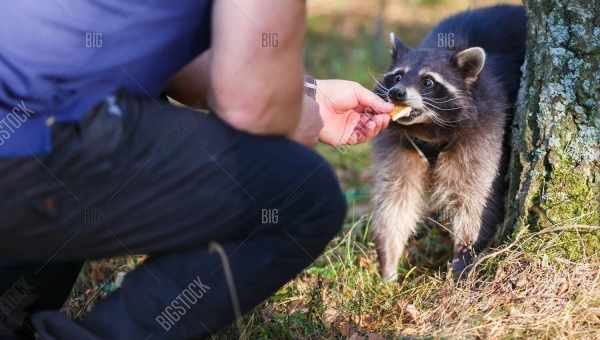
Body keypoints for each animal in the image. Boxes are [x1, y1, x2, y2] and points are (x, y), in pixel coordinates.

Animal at [370, 5, 524, 280]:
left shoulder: (486, 130)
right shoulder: (398, 142)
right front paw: (388, 262)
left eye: (428, 82)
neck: (427, 128)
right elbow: (395, 198)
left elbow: (474, 200)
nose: (396, 93)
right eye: (397, 77)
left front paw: (464, 259)